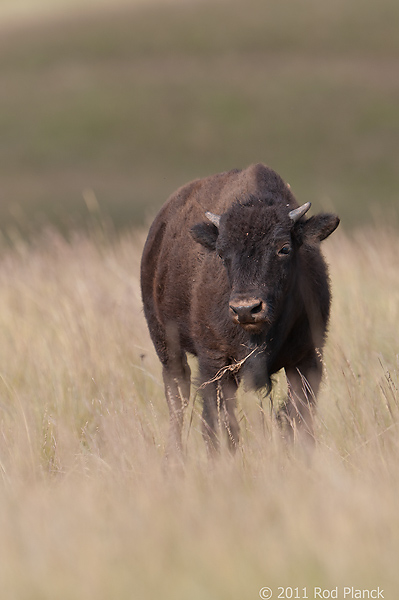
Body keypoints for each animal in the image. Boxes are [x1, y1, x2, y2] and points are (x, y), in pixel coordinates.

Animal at [141, 162, 340, 452]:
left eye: (284, 248)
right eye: (221, 253)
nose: (246, 309)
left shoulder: (308, 357)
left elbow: (296, 419)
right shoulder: (215, 363)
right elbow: (219, 424)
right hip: (167, 345)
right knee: (177, 395)